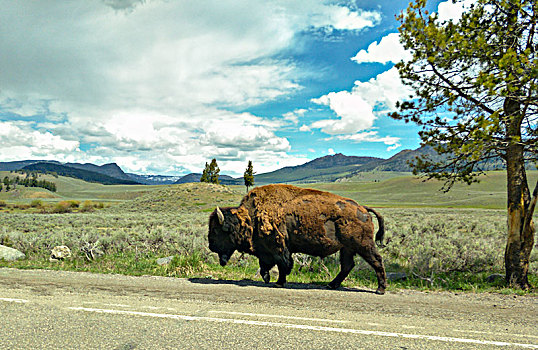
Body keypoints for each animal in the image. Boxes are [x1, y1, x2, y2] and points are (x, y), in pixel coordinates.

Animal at [206, 185, 386, 294]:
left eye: (215, 230)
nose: (211, 245)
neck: (250, 218)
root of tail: (363, 208)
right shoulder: (267, 251)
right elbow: (265, 265)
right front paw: (267, 278)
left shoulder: (278, 248)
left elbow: (282, 264)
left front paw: (278, 282)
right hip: (346, 248)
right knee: (347, 266)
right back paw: (331, 285)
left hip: (362, 245)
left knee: (376, 261)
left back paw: (380, 289)